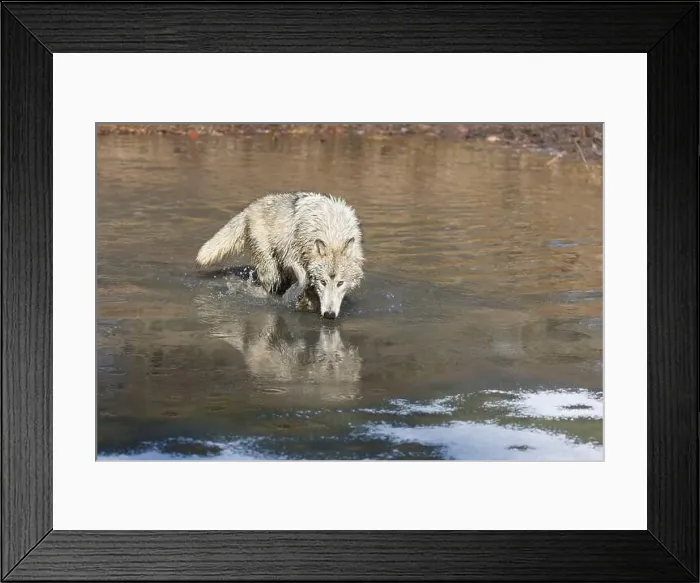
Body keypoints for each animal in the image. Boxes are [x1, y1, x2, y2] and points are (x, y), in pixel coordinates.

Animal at [196, 192, 364, 319]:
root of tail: (250, 208)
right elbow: (304, 279)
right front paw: (301, 299)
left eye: (340, 283)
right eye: (323, 282)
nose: (329, 315)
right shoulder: (292, 257)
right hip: (271, 271)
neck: (332, 232)